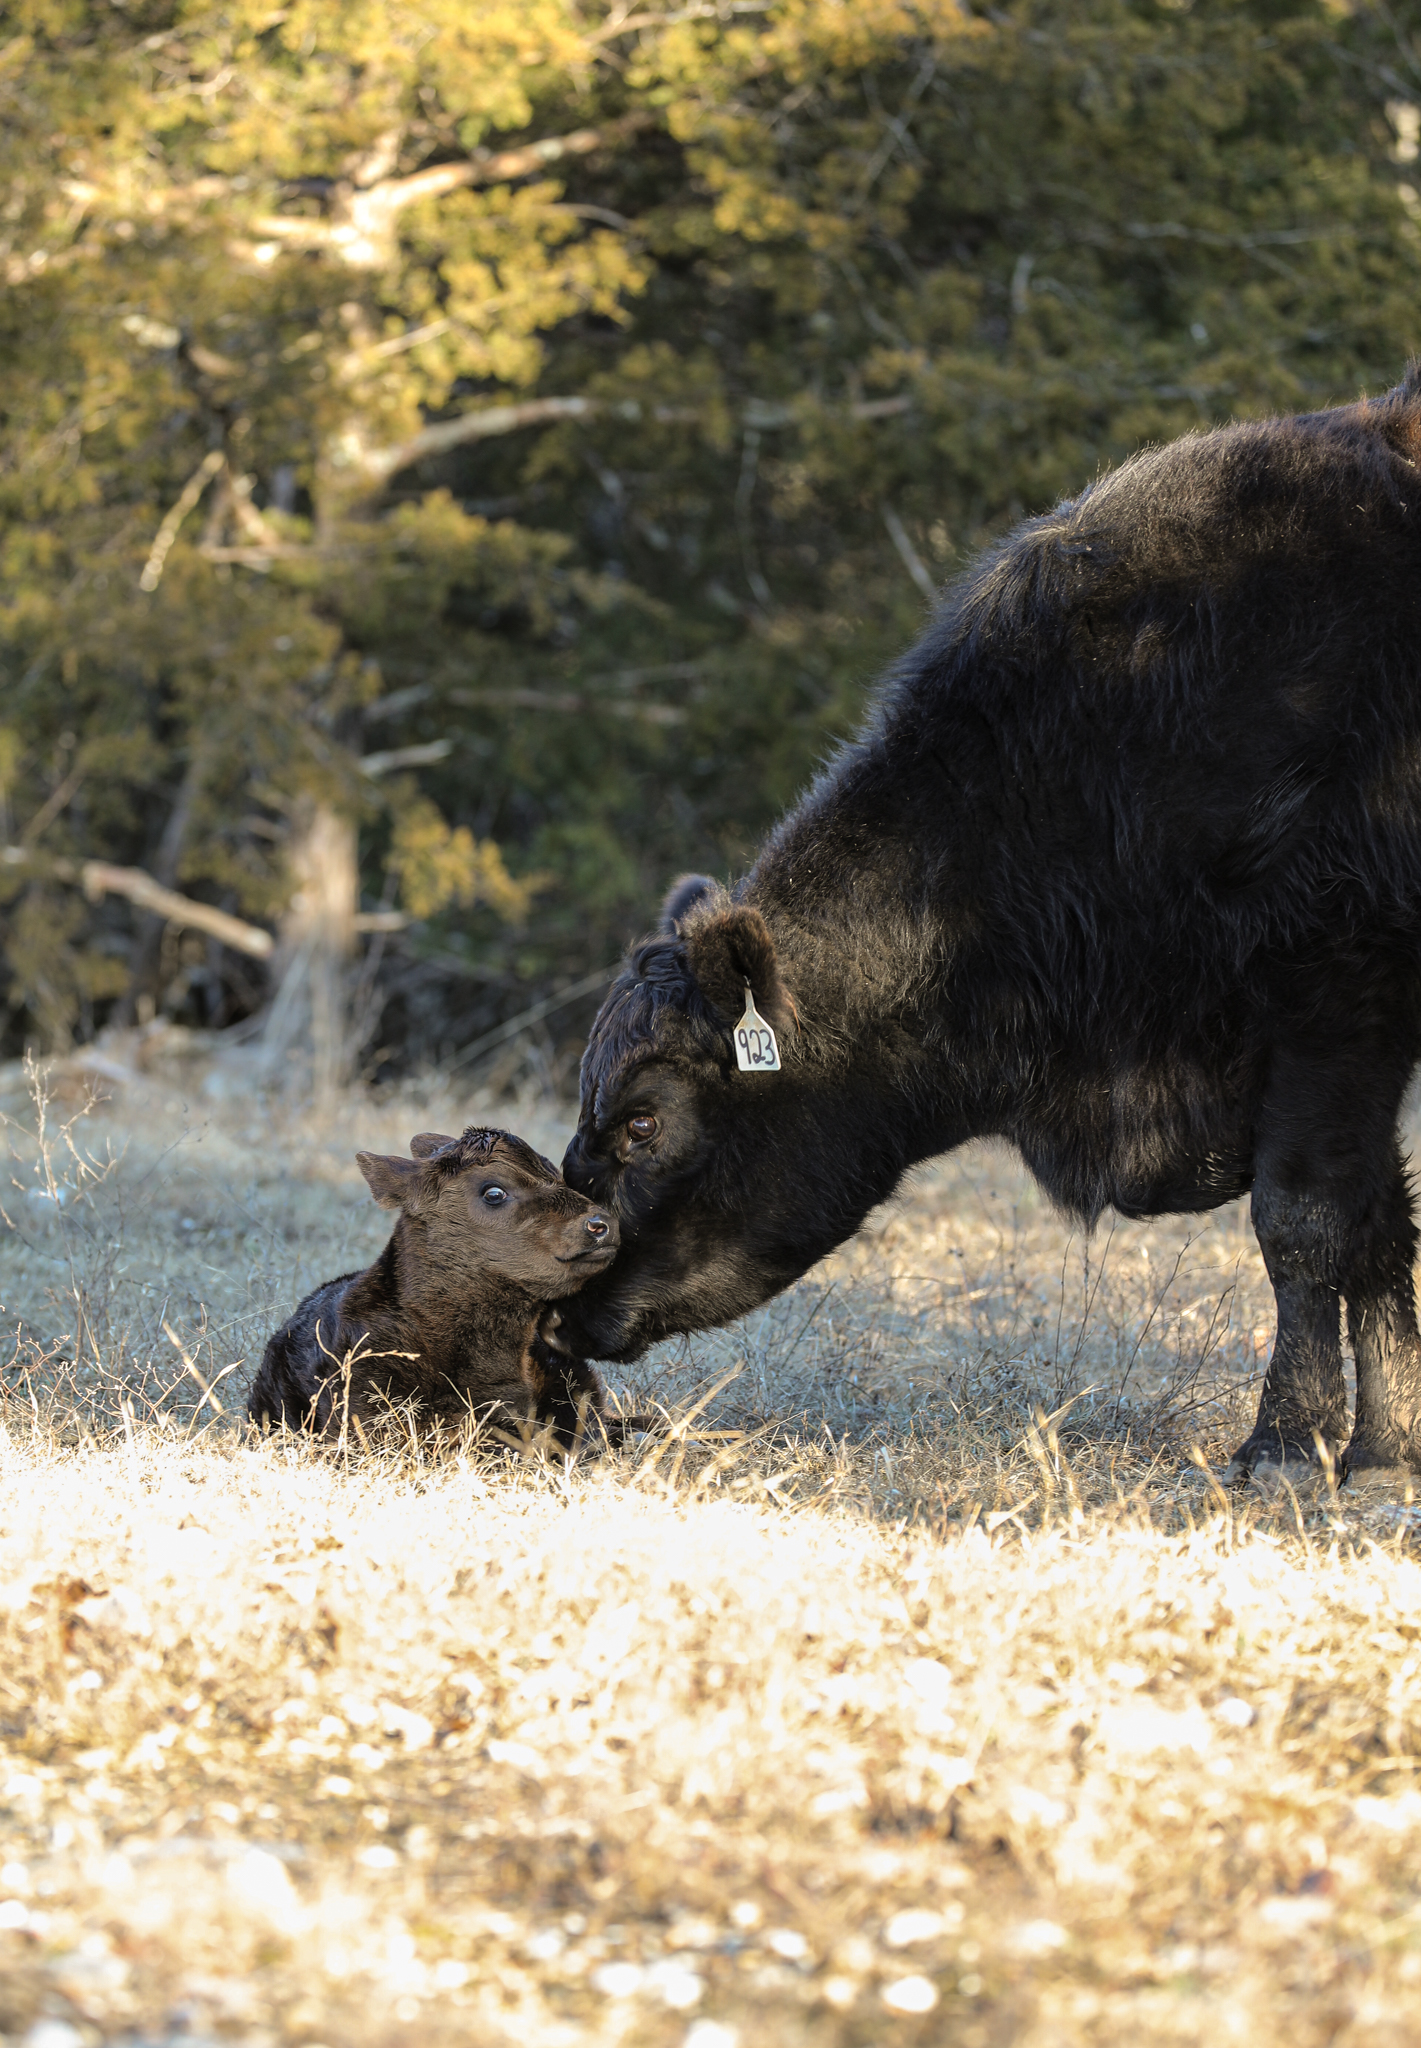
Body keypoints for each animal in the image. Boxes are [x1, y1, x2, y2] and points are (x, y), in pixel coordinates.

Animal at [559, 366, 1421, 1483]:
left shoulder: (1337, 993)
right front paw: (1388, 1443)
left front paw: (1287, 1440)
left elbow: (1308, 1219)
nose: (559, 1298)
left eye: (643, 1119)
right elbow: (1382, 1225)